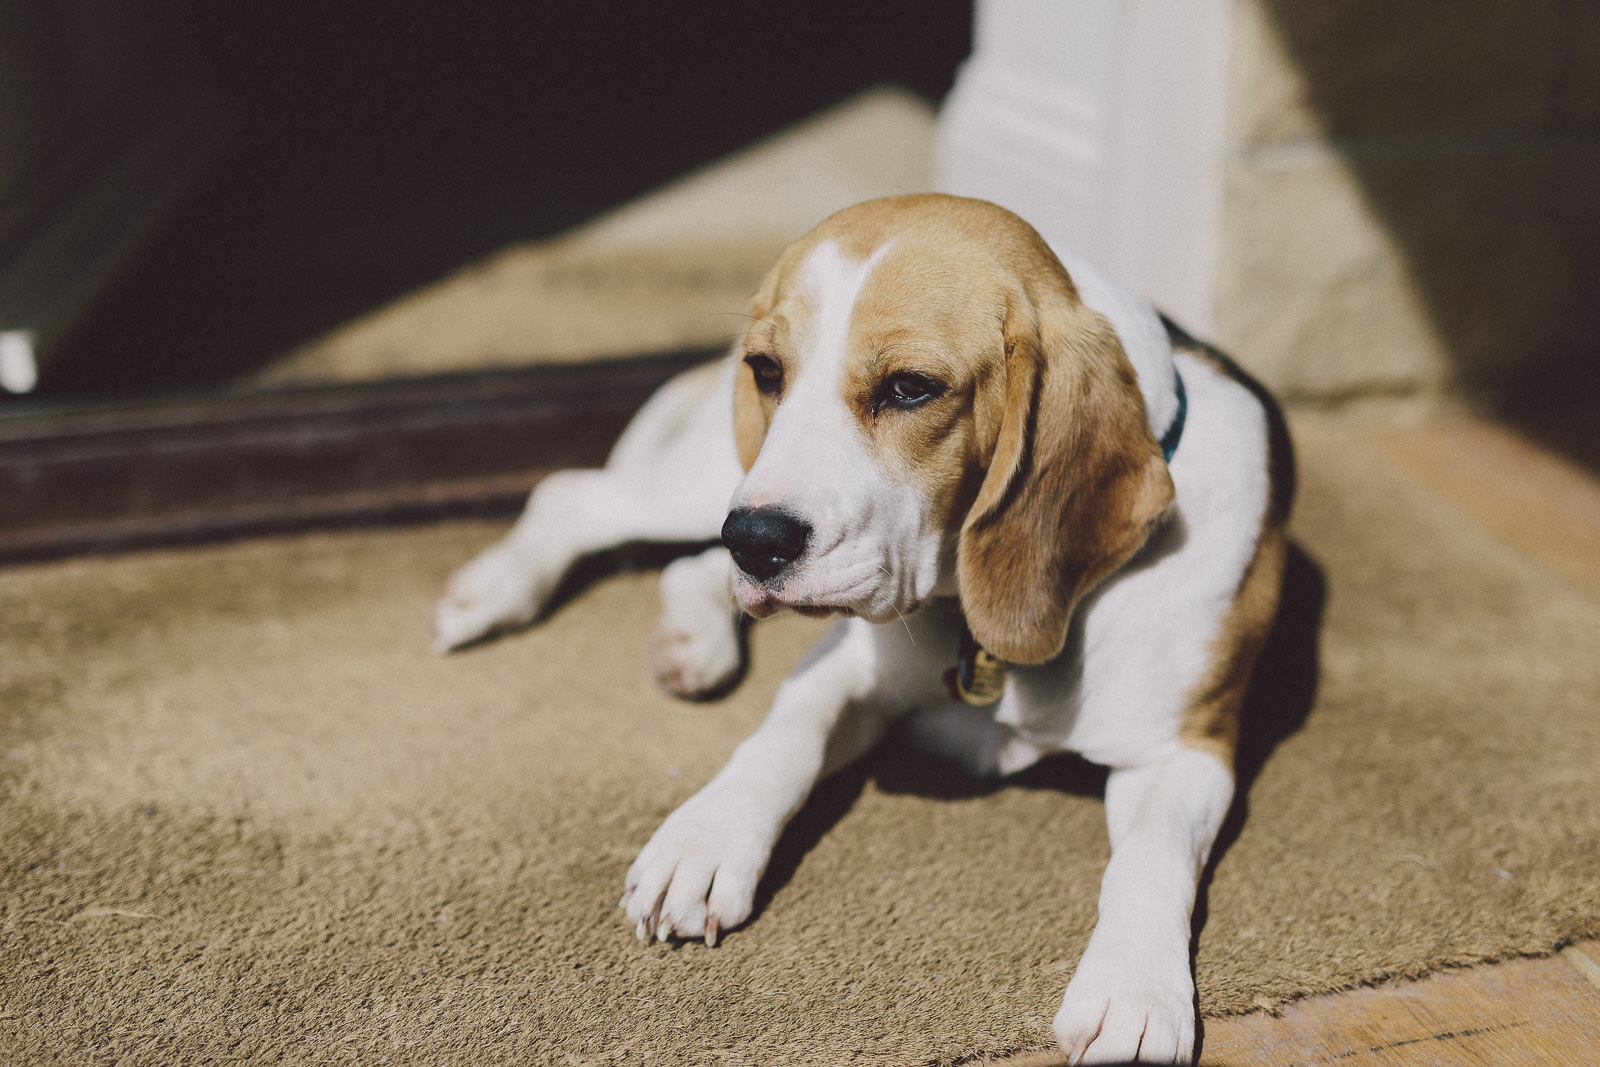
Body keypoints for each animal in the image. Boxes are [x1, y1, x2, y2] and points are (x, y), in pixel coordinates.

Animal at [435, 195, 1286, 1062]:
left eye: (910, 388)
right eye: (767, 371)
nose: (758, 540)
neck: (966, 616)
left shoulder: (1190, 749)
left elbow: (1152, 853)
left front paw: (1134, 989)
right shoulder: (846, 666)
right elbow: (783, 735)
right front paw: (705, 837)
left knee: (683, 557)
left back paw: (691, 639)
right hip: (713, 479)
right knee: (576, 493)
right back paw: (495, 590)